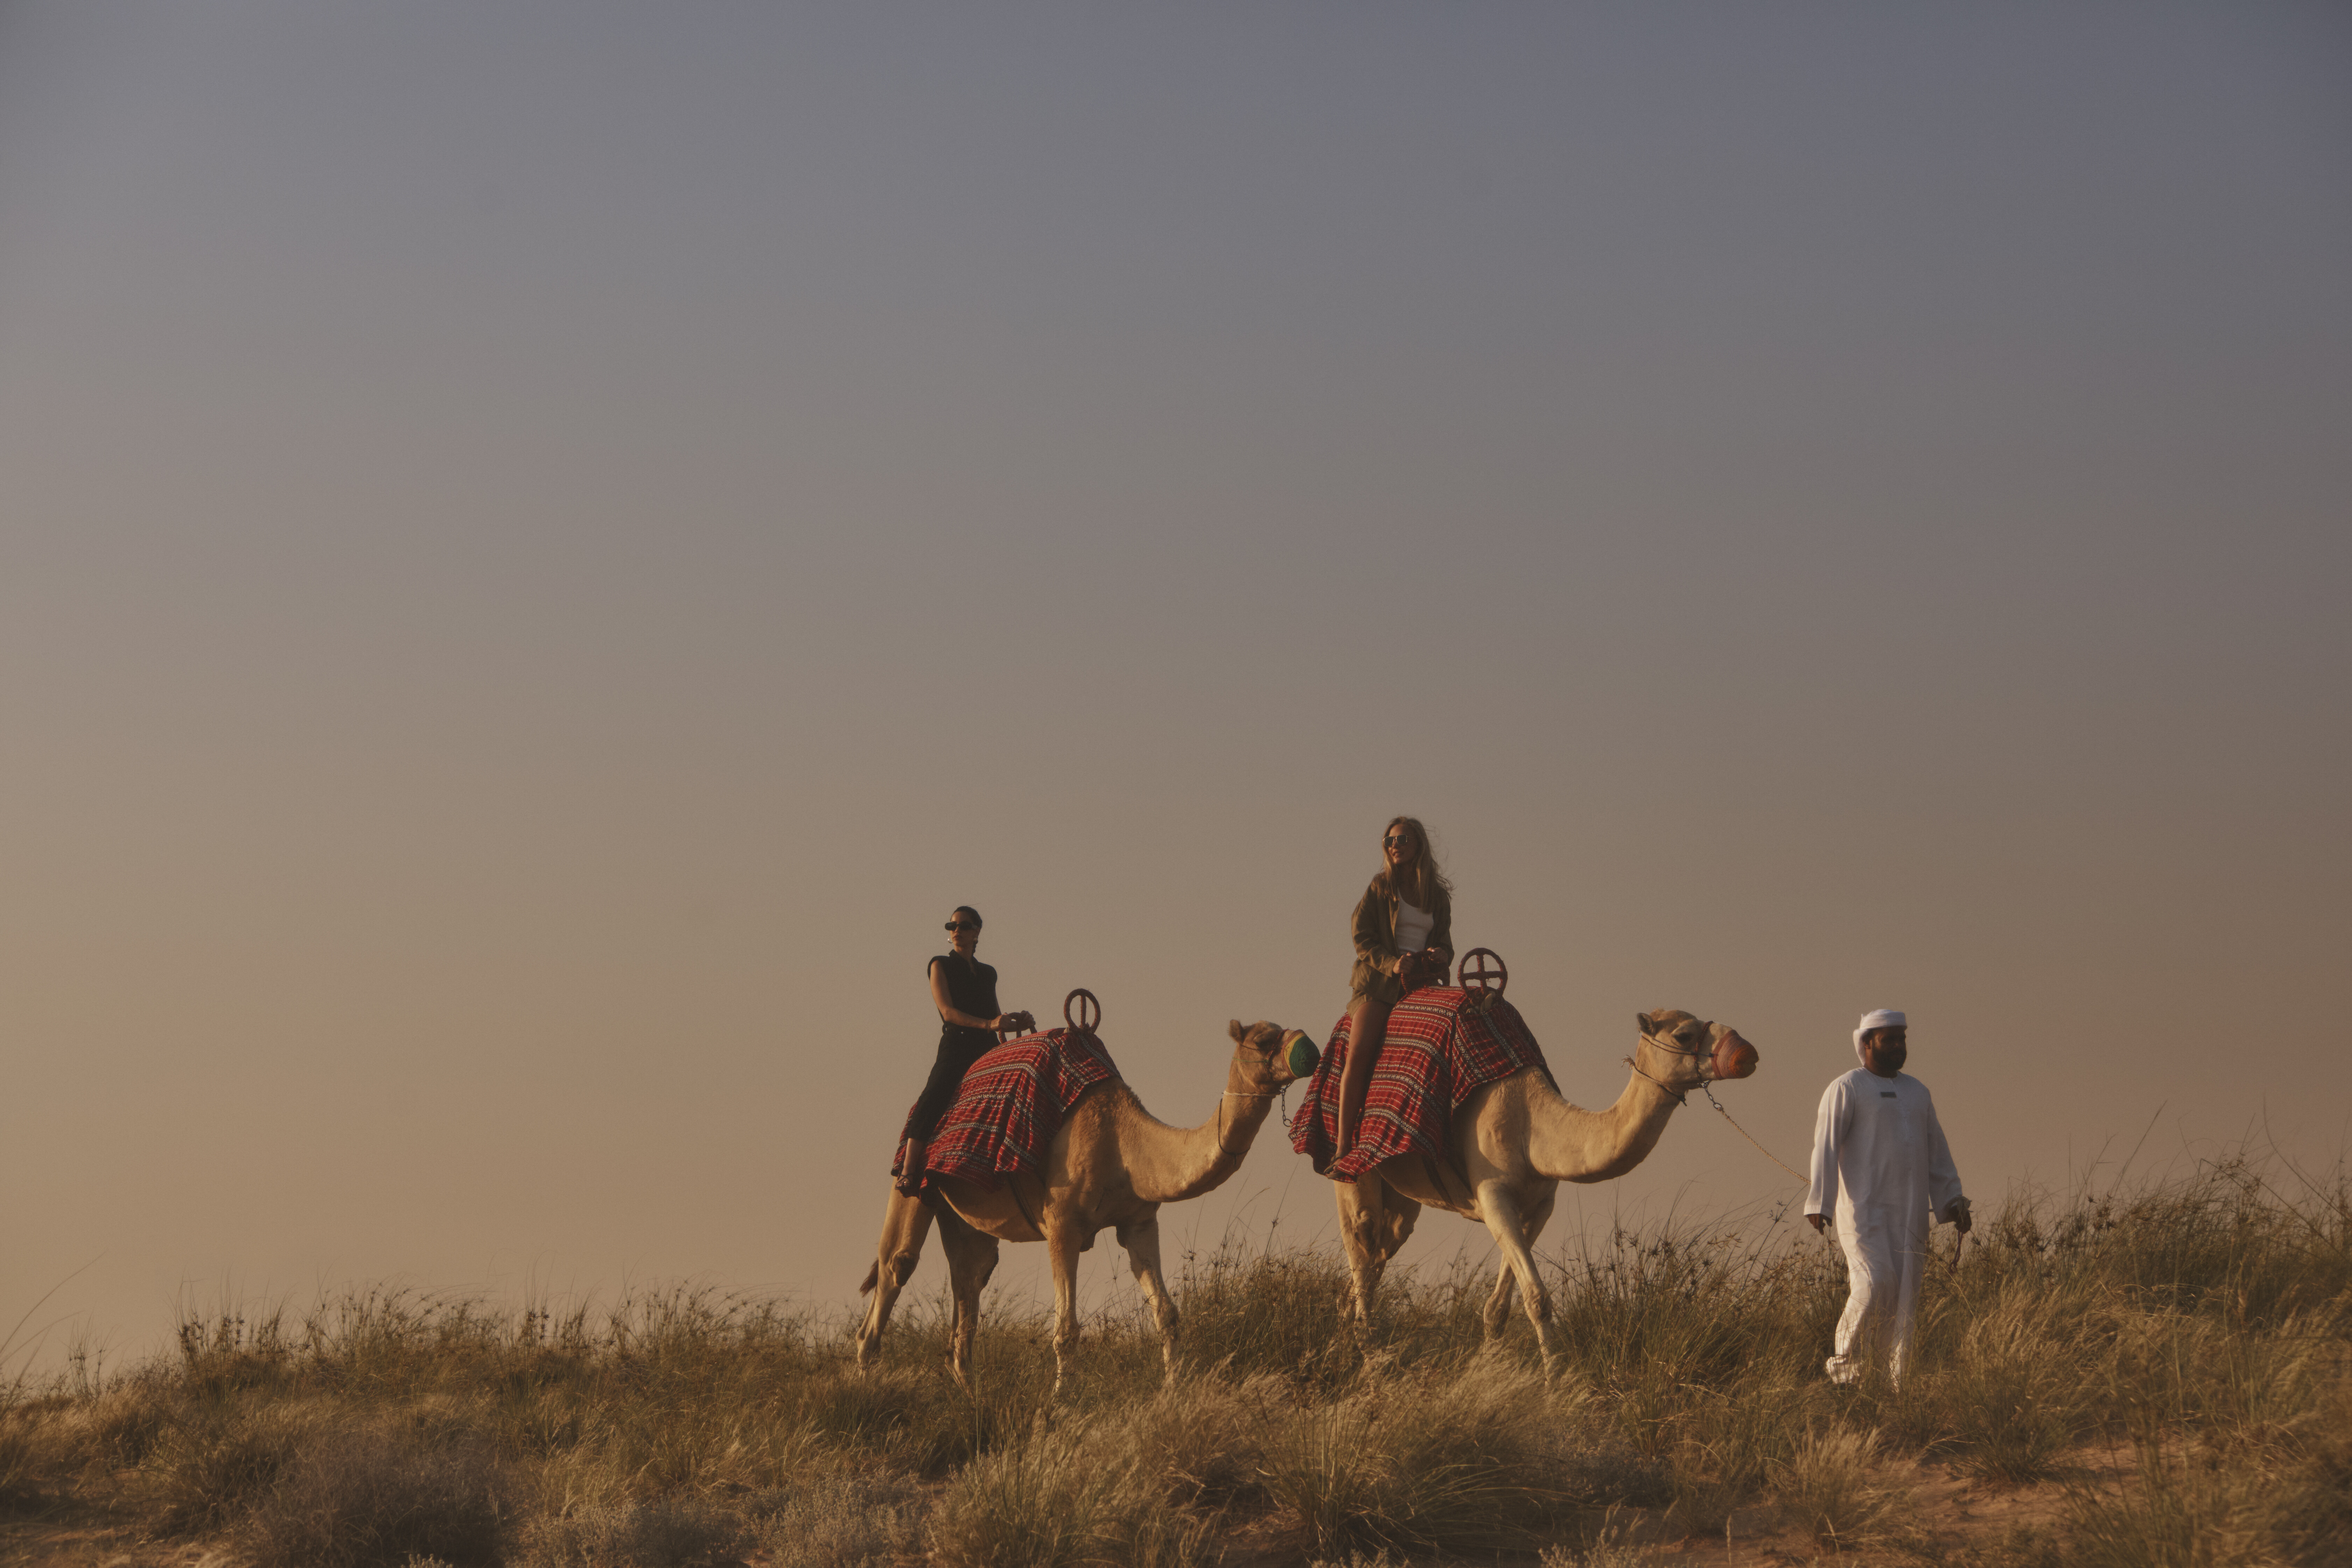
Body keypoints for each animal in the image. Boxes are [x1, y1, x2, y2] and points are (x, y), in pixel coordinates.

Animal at [856, 1025, 1317, 1392]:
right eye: (1264, 1039)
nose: (1308, 1047)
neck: (1125, 1141)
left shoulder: (1138, 1221)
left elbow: (1167, 1313)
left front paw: (1174, 1388)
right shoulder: (1062, 1225)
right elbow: (1066, 1329)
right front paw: (1061, 1400)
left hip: (964, 1218)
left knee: (971, 1279)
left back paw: (970, 1396)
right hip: (913, 1184)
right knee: (896, 1267)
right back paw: (866, 1389)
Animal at [1336, 1011, 1759, 1363]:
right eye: (1684, 1035)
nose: (1747, 1051)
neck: (1532, 1126)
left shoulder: (1538, 1205)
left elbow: (1498, 1307)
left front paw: (1490, 1371)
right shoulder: (1494, 1197)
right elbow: (1537, 1298)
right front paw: (1555, 1386)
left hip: (1403, 1197)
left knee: (1378, 1255)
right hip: (1351, 1170)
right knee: (1364, 1240)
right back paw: (1372, 1366)